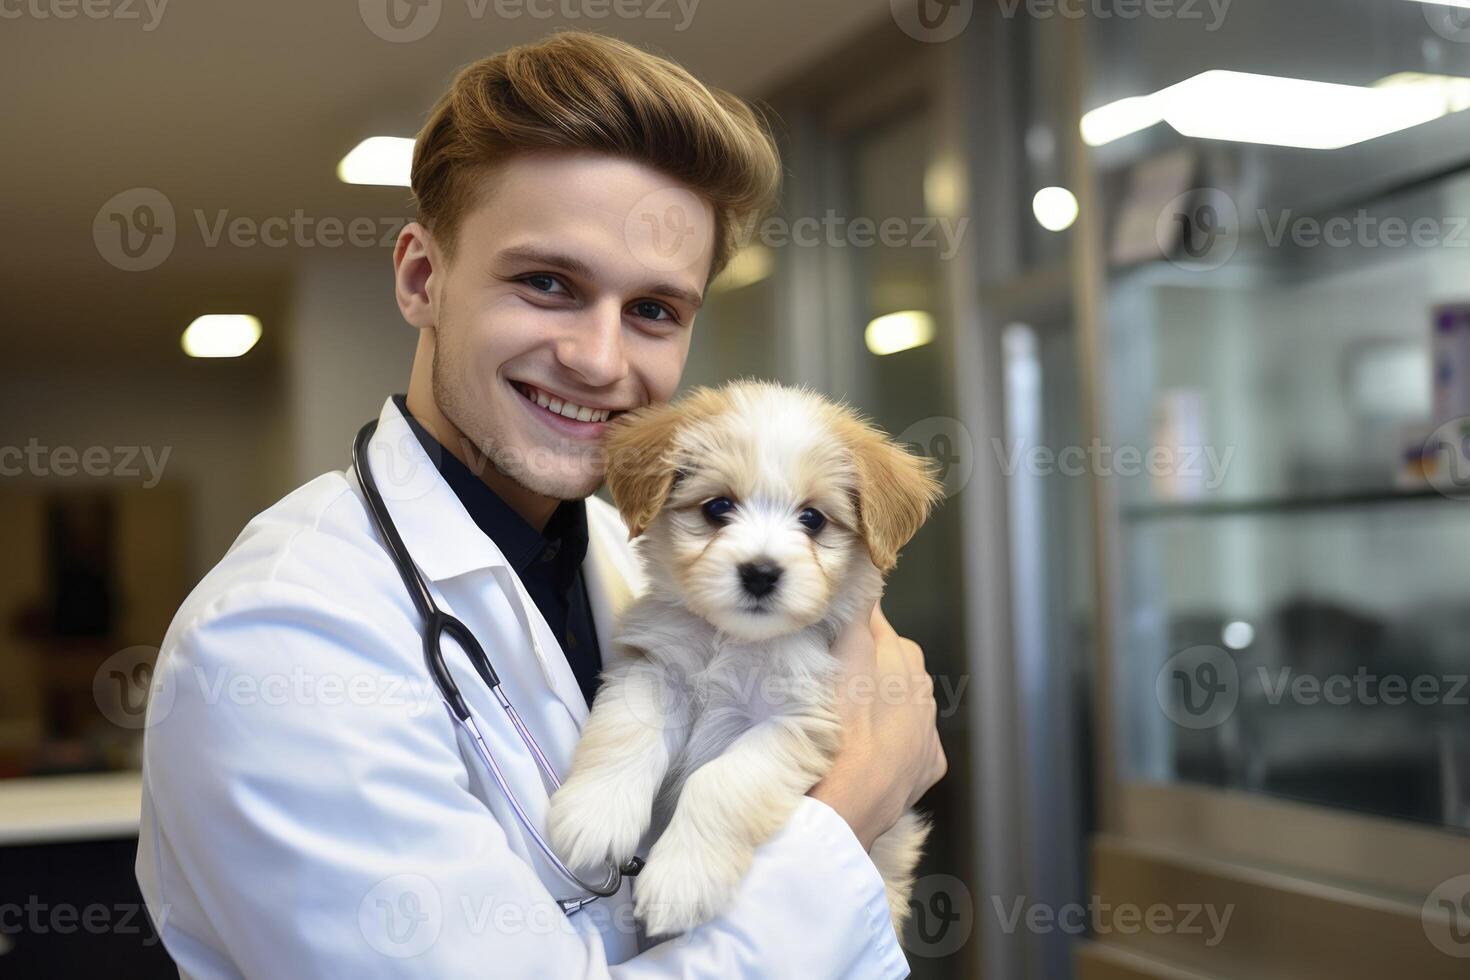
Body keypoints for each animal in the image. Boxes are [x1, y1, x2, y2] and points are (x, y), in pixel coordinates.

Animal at [549, 379, 940, 940]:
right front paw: (595, 812)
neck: (734, 641)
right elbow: (628, 732)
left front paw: (680, 879)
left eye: (812, 519)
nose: (760, 572)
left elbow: (718, 783)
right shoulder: (656, 670)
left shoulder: (792, 720)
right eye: (718, 508)